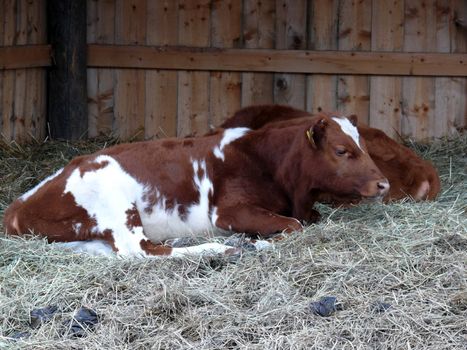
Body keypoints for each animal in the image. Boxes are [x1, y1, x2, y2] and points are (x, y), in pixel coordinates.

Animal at [3, 115, 390, 258]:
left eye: (363, 144)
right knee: (142, 251)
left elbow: (305, 220)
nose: (383, 183)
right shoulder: (228, 210)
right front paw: (257, 242)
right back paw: (220, 248)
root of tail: (17, 207)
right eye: (341, 150)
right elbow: (293, 226)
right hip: (116, 204)